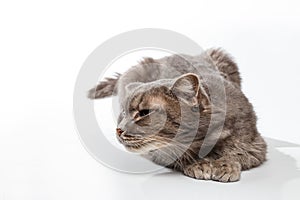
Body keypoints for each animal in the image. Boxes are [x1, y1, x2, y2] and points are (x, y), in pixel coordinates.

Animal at [88, 48, 266, 183]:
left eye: (144, 113)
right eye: (123, 113)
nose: (119, 130)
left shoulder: (254, 142)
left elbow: (237, 151)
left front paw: (225, 165)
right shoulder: (157, 151)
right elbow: (177, 153)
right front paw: (199, 164)